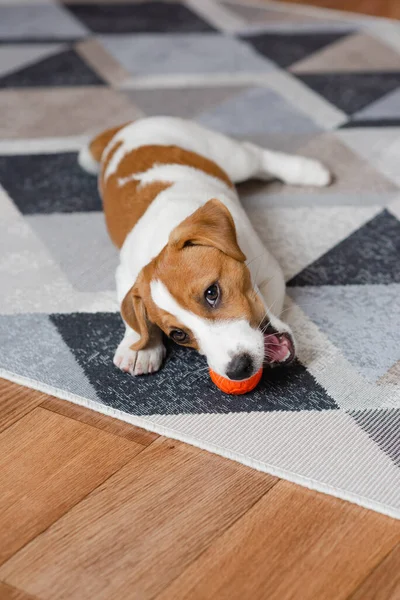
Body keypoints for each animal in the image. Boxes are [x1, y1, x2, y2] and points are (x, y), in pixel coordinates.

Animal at [79, 117, 332, 380]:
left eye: (212, 293)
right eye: (178, 335)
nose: (237, 370)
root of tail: (126, 128)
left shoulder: (270, 270)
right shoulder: (126, 273)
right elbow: (131, 314)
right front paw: (139, 347)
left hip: (230, 156)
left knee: (257, 156)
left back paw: (310, 171)